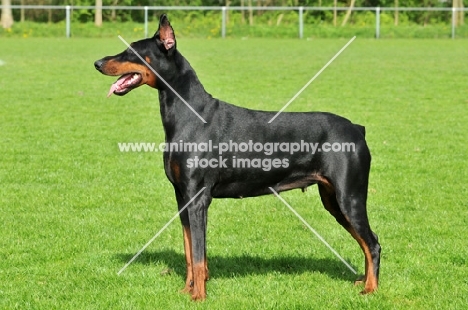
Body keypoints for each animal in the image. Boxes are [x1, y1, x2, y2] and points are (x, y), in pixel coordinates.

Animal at [94, 13, 380, 300]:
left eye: (132, 51)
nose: (97, 63)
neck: (188, 115)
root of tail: (357, 129)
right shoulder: (182, 197)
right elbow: (189, 251)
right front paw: (187, 290)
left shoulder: (198, 198)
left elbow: (199, 255)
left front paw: (199, 296)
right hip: (332, 199)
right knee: (366, 242)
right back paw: (363, 281)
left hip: (349, 196)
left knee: (373, 242)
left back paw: (371, 288)